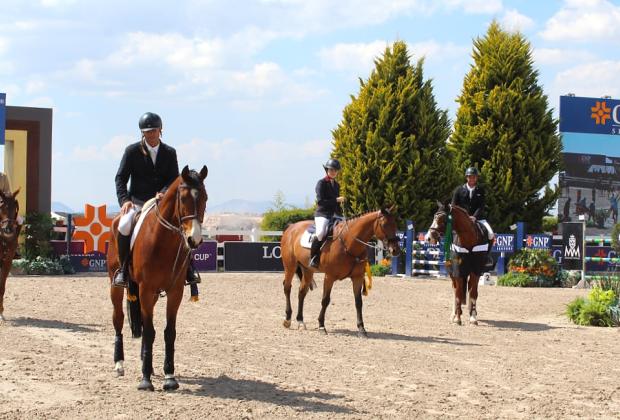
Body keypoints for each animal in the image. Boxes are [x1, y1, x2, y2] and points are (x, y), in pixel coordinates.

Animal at [108, 165, 209, 390]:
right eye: (183, 199)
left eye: (205, 198)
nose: (195, 239)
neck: (163, 241)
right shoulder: (145, 290)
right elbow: (149, 332)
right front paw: (145, 380)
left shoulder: (175, 292)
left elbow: (168, 332)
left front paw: (169, 376)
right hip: (116, 286)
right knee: (118, 318)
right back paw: (119, 364)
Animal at [282, 207, 402, 338]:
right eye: (384, 225)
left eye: (395, 224)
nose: (395, 250)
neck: (349, 243)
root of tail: (291, 227)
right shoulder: (329, 277)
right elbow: (325, 300)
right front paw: (321, 326)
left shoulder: (357, 277)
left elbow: (358, 302)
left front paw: (361, 329)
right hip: (290, 266)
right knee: (287, 288)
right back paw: (287, 319)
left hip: (308, 270)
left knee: (302, 292)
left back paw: (300, 321)